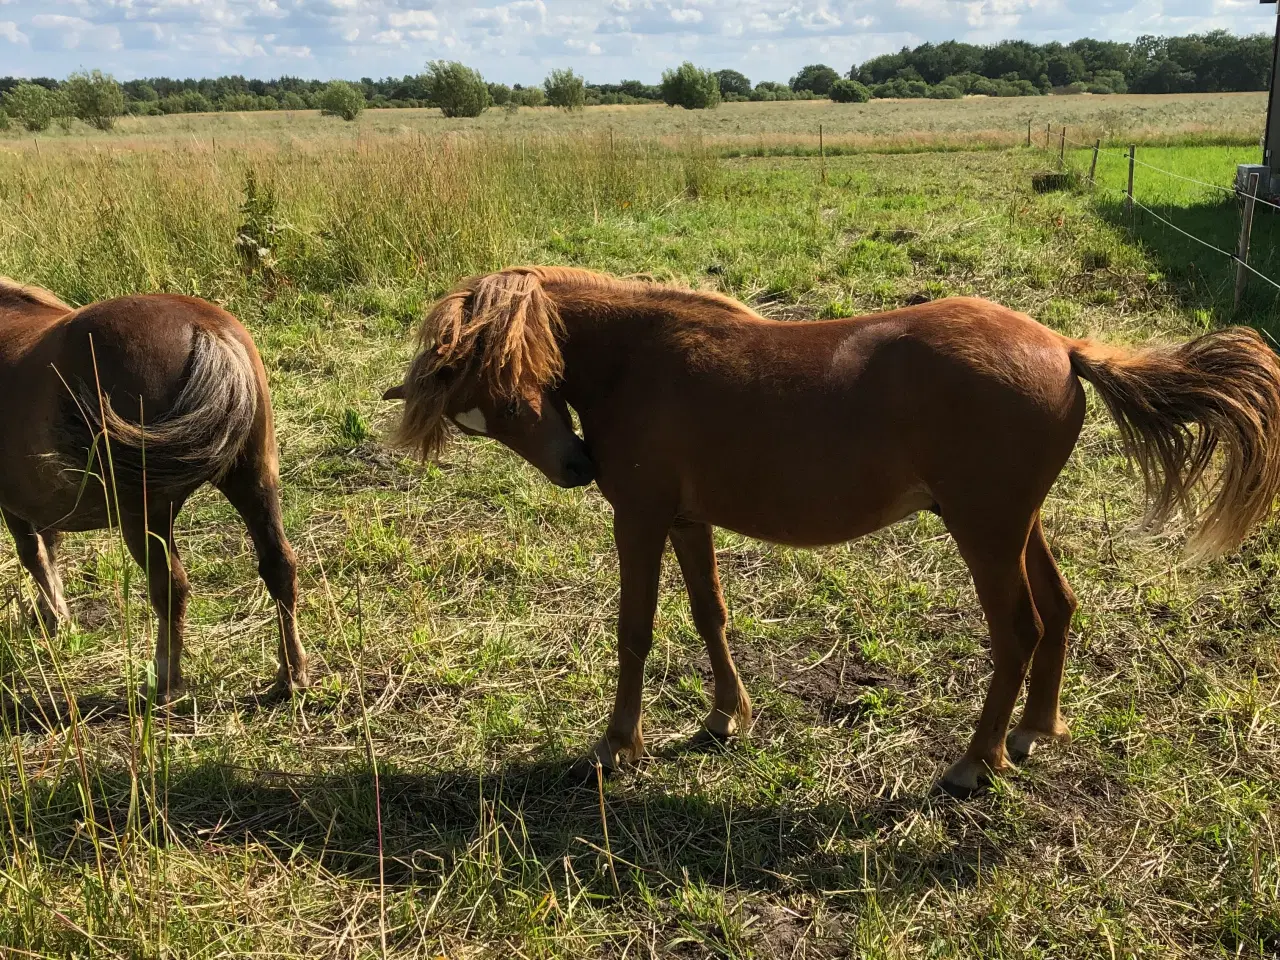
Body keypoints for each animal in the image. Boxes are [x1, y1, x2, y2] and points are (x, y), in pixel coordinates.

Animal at [0, 277, 309, 706]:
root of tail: (205, 328)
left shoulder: (13, 504)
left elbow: (34, 555)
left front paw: (57, 620)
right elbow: (50, 547)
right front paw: (50, 616)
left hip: (146, 514)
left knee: (170, 586)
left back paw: (165, 681)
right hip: (255, 484)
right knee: (279, 566)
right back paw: (291, 674)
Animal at [384, 267, 1280, 793]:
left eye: (520, 379)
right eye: (477, 407)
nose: (574, 465)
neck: (643, 356)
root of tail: (1061, 346)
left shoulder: (638, 518)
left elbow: (635, 631)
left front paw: (616, 744)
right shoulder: (686, 519)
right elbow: (709, 616)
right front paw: (725, 717)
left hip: (985, 531)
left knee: (1019, 630)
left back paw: (975, 760)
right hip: (1016, 524)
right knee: (1059, 611)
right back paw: (1032, 731)